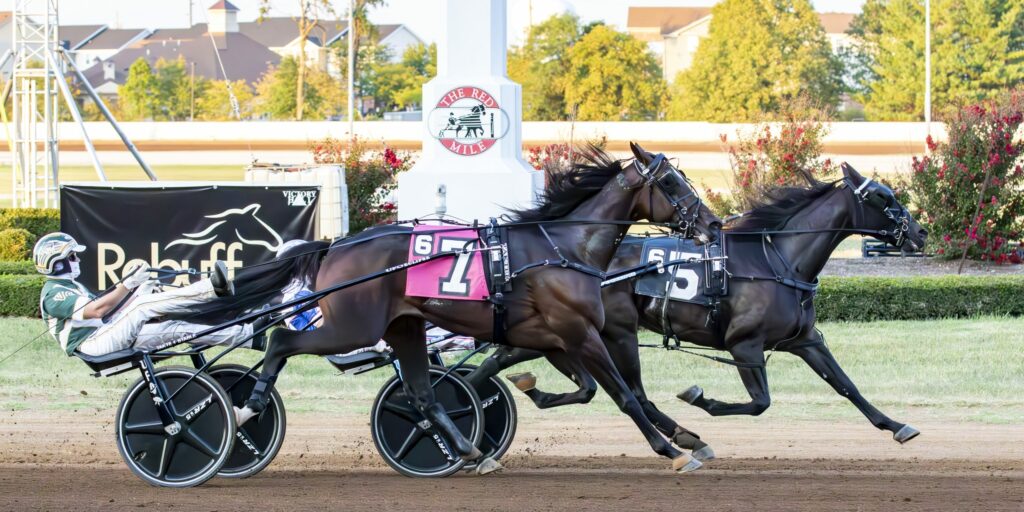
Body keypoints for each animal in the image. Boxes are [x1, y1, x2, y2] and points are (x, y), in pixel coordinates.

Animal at [211, 142, 720, 473]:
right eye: (671, 181)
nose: (712, 224)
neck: (563, 247)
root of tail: (336, 245)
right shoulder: (579, 333)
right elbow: (624, 394)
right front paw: (673, 450)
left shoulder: (557, 339)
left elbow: (588, 390)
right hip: (353, 327)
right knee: (281, 339)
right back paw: (247, 406)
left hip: (404, 328)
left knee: (421, 392)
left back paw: (472, 453)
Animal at [468, 161, 933, 454]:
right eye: (883, 197)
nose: (921, 232)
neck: (778, 260)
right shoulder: (745, 345)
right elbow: (760, 403)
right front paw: (699, 398)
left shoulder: (804, 340)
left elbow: (846, 385)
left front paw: (897, 426)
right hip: (612, 332)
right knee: (628, 391)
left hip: (571, 331)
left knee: (507, 357)